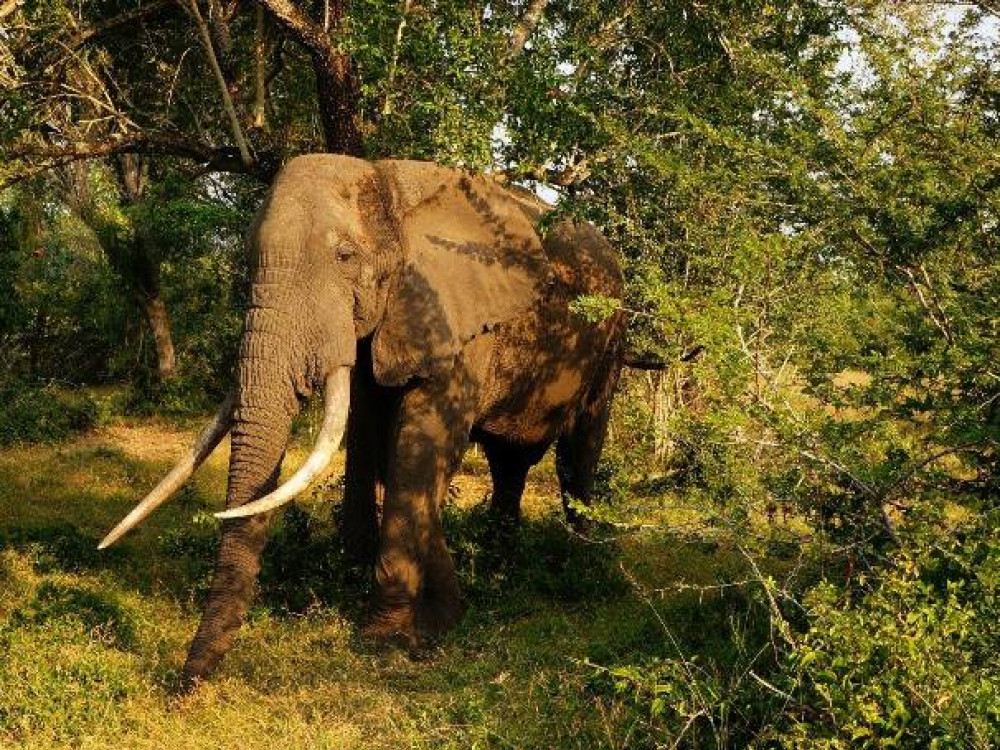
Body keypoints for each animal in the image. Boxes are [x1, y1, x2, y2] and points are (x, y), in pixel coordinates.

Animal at [97, 156, 620, 692]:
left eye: (346, 257)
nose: (185, 686)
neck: (387, 182)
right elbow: (377, 440)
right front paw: (442, 617)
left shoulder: (458, 319)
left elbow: (420, 449)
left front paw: (385, 639)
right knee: (508, 461)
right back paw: (502, 561)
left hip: (612, 334)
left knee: (578, 453)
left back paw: (579, 559)